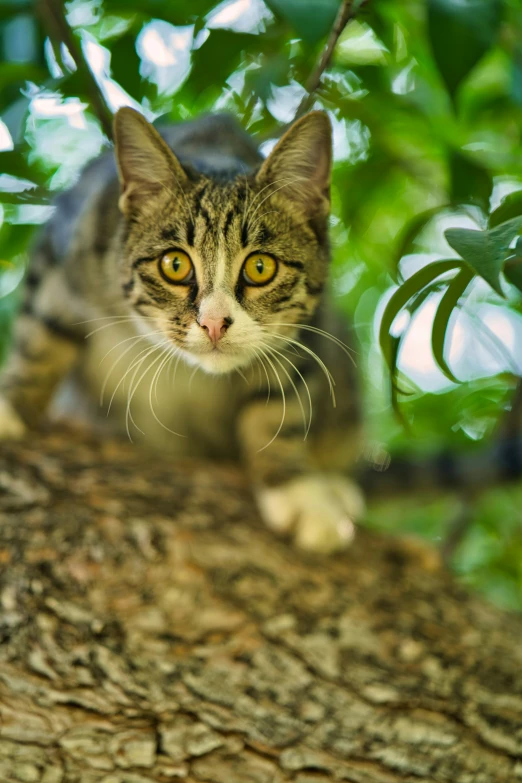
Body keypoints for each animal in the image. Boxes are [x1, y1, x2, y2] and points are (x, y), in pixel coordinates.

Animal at [0, 107, 362, 556]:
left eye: (261, 267)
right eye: (175, 264)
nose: (214, 322)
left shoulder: (305, 331)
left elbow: (279, 403)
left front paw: (297, 488)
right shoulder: (72, 237)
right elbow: (41, 335)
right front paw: (11, 407)